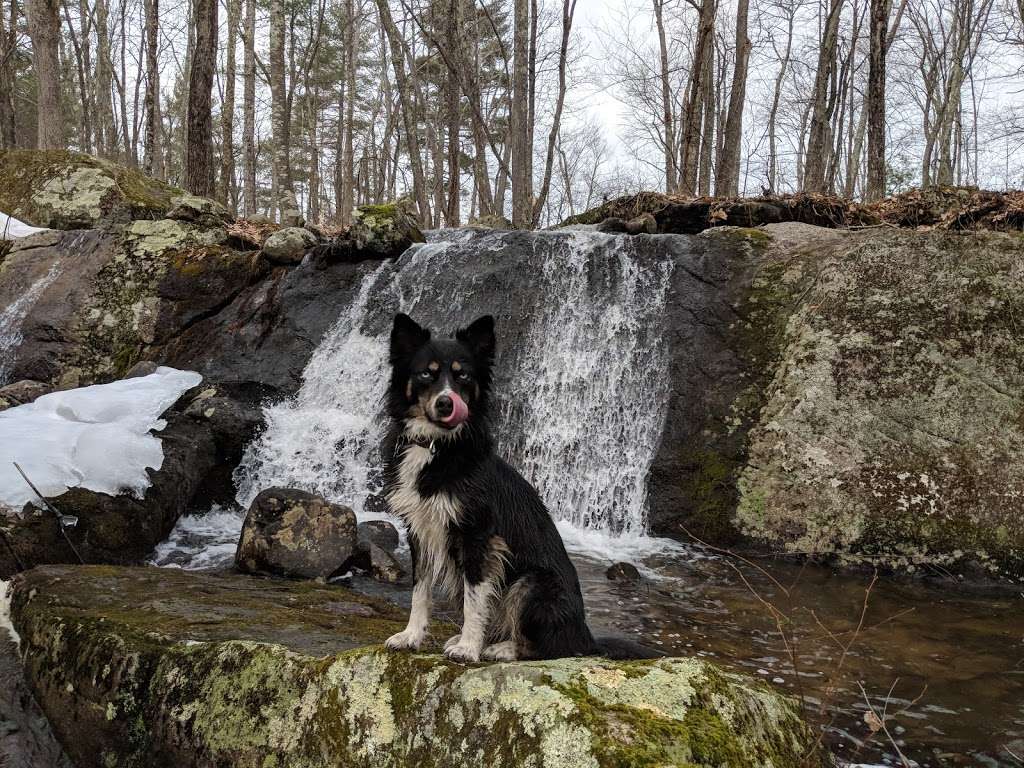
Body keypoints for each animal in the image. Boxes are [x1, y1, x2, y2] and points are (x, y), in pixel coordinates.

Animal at [380, 315, 651, 663]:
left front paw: (468, 648)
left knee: (550, 648)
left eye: (463, 375)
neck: (436, 447)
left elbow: (474, 601)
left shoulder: (479, 535)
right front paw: (412, 636)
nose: (445, 403)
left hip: (532, 582)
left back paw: (503, 648)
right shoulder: (419, 529)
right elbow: (420, 590)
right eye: (426, 373)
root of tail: (587, 637)